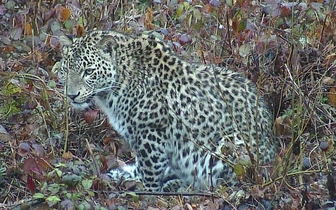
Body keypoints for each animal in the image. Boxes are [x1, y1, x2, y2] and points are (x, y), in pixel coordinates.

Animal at [59, 30, 276, 192]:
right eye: (67, 68)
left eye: (88, 71)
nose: (71, 95)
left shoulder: (151, 135)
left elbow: (150, 172)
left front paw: (148, 193)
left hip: (229, 147)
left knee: (220, 185)